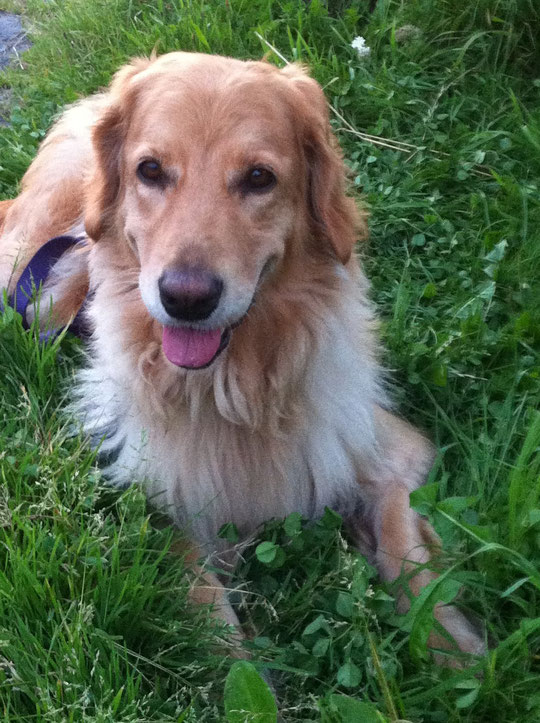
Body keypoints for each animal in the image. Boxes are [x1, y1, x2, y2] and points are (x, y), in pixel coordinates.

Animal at [0, 51, 486, 660]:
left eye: (259, 178)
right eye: (151, 170)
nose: (185, 299)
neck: (234, 389)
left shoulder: (393, 448)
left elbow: (405, 549)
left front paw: (456, 648)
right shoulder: (157, 512)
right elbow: (216, 627)